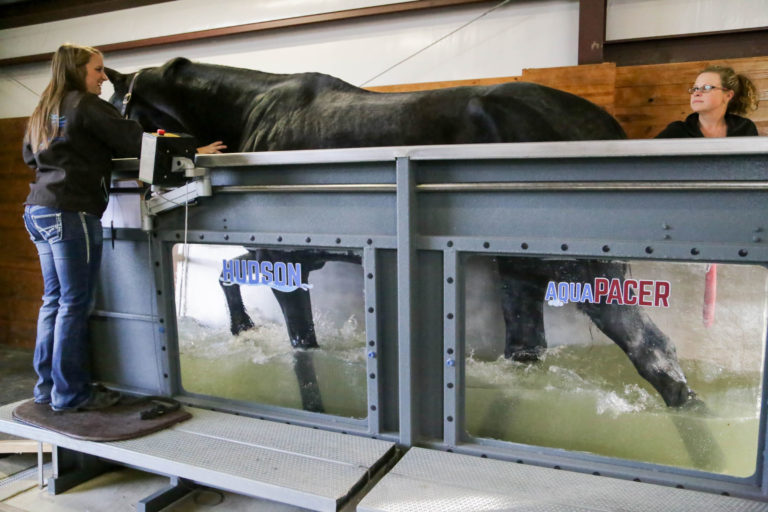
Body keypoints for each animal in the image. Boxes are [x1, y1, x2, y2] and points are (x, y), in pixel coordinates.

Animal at [106, 59, 696, 412]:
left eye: (119, 104)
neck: (255, 114)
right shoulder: (286, 257)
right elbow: (229, 278)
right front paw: (242, 328)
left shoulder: (286, 261)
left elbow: (302, 344)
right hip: (521, 270)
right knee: (530, 347)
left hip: (583, 270)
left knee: (653, 351)